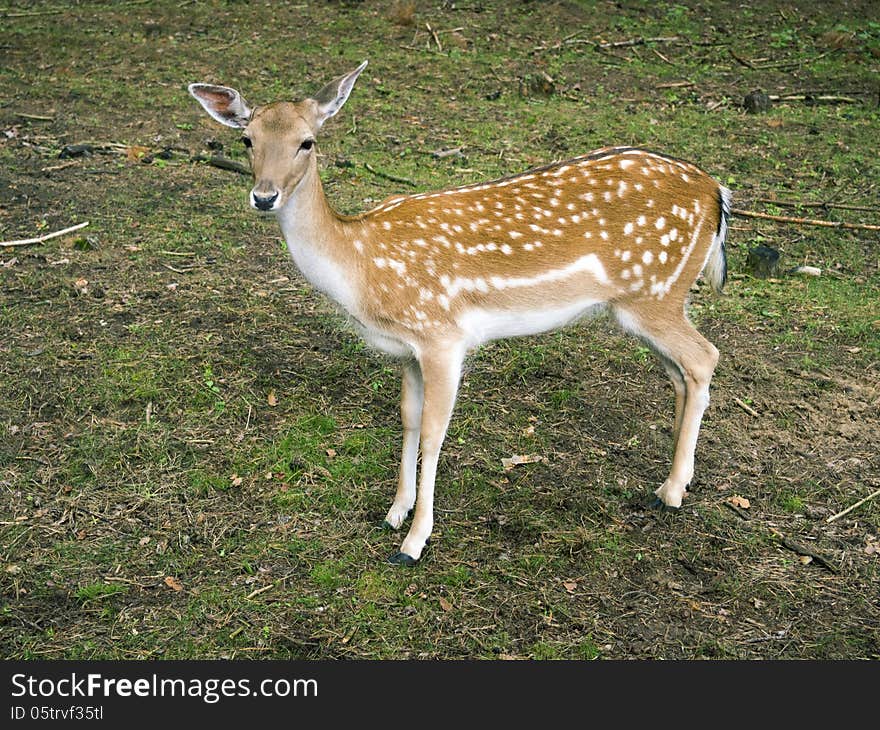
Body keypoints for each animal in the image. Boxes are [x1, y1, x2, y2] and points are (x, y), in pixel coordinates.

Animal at [189, 61, 732, 564]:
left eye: (307, 142)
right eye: (246, 140)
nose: (264, 196)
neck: (362, 266)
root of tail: (719, 194)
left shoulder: (442, 335)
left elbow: (434, 433)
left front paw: (413, 542)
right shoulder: (406, 350)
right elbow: (408, 420)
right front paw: (395, 512)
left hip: (655, 296)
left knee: (705, 357)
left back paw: (671, 492)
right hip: (644, 306)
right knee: (680, 373)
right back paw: (675, 476)